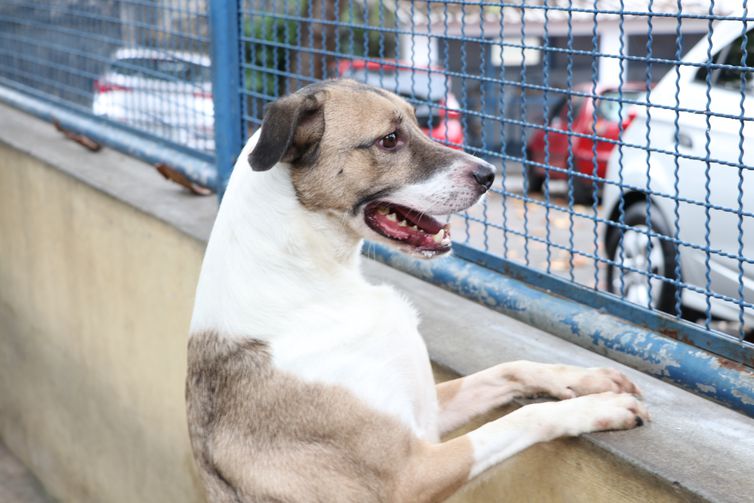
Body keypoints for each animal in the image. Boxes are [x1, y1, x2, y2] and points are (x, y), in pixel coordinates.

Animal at [187, 80, 648, 502]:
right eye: (390, 139)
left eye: (418, 122)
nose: (490, 175)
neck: (317, 279)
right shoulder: (411, 474)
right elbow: (522, 419)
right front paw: (598, 408)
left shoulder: (429, 410)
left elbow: (507, 369)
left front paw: (584, 380)